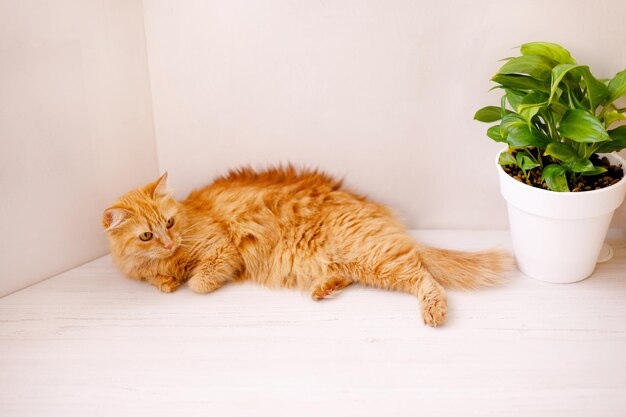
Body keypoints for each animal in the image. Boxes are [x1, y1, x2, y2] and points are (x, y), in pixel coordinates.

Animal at [101, 166, 508, 324]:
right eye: (147, 235)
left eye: (169, 223)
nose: (169, 242)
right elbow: (160, 281)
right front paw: (167, 281)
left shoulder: (222, 250)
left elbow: (200, 281)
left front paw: (186, 280)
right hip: (355, 261)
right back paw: (323, 289)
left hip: (371, 255)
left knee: (425, 278)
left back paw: (434, 312)